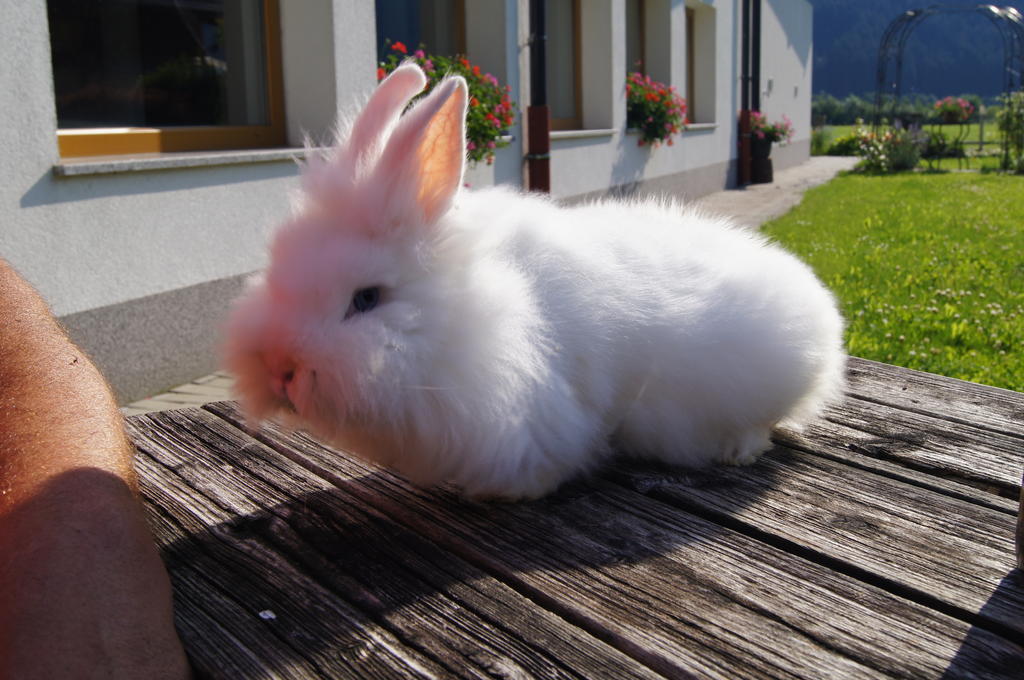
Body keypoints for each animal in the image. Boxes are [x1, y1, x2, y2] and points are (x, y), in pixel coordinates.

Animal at [226, 63, 847, 499]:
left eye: (367, 298)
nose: (278, 368)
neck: (461, 318)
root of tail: (821, 315)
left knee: (765, 424)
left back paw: (737, 449)